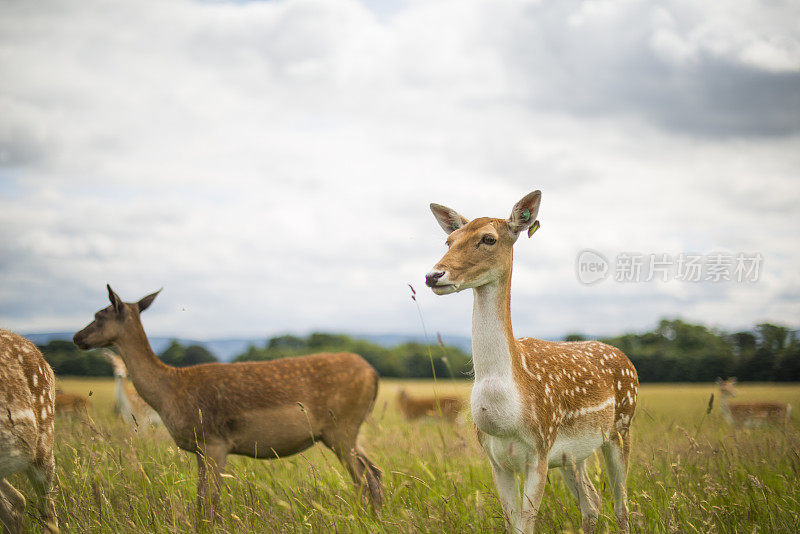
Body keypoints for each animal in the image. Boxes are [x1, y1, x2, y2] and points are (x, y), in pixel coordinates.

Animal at [75, 286, 384, 516]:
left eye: (99, 314)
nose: (77, 337)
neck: (169, 393)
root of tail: (374, 374)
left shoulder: (214, 441)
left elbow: (210, 500)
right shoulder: (200, 448)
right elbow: (201, 499)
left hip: (341, 426)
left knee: (364, 478)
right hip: (348, 431)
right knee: (376, 471)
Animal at [424, 191, 636, 532]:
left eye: (488, 238)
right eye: (449, 240)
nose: (433, 275)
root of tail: (626, 359)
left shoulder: (539, 450)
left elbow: (526, 525)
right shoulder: (496, 460)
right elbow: (512, 524)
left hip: (622, 428)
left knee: (621, 505)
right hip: (573, 455)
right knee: (592, 503)